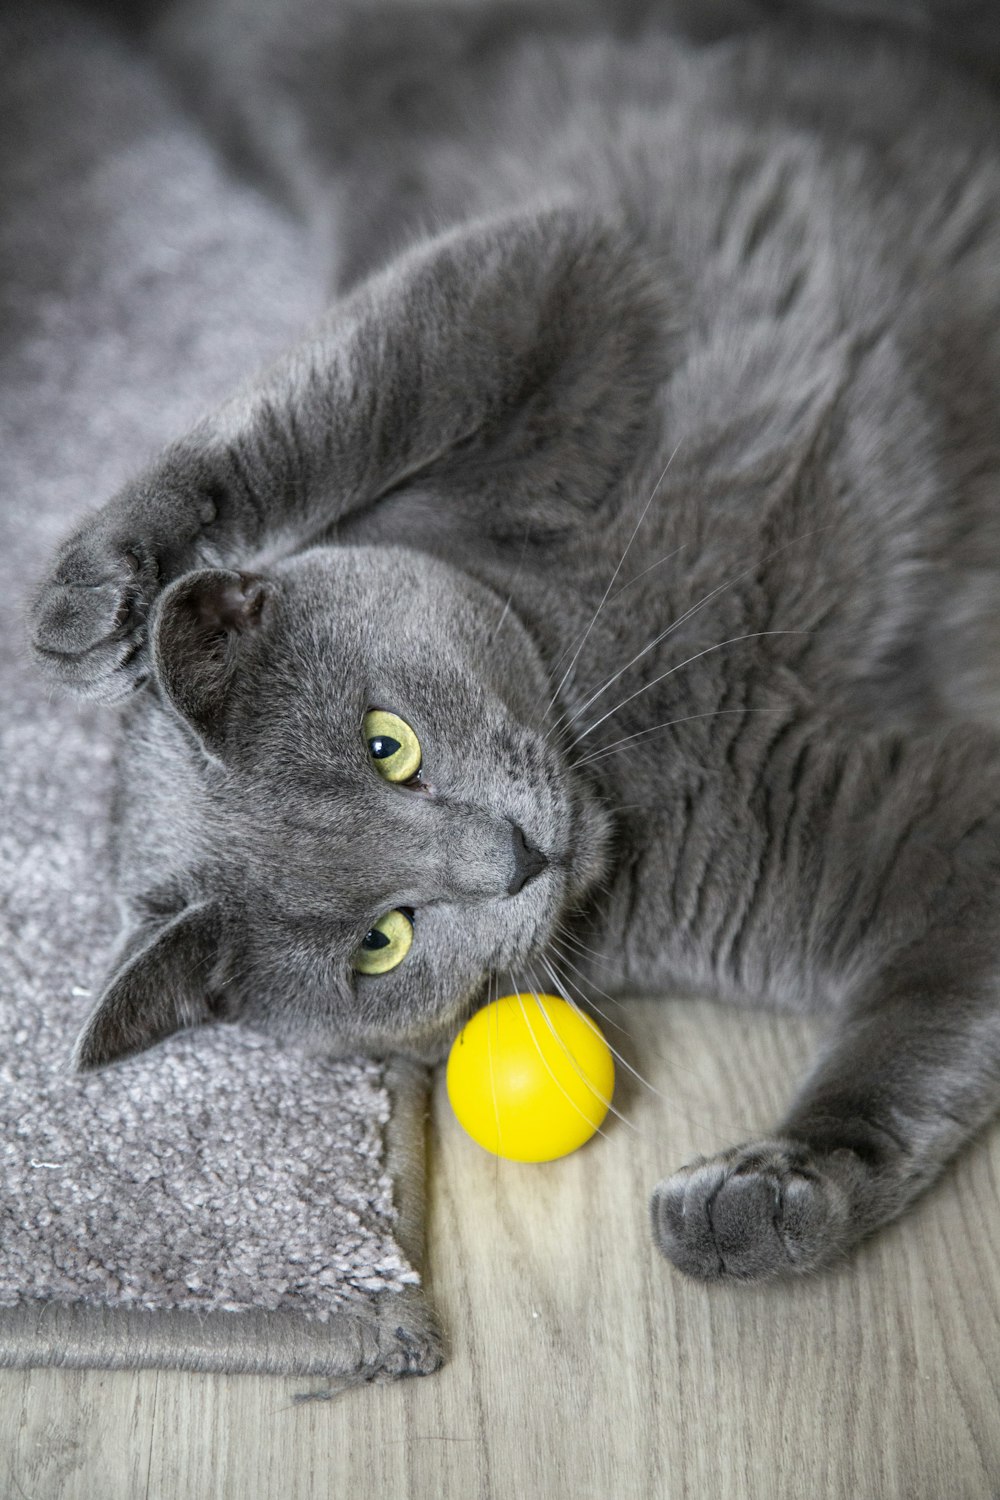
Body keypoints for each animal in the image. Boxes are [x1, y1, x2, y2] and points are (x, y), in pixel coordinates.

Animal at [27, 2, 1000, 1290]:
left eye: (387, 743)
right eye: (382, 943)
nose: (513, 859)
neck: (619, 717)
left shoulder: (558, 272)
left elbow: (340, 397)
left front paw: (108, 585)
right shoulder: (914, 836)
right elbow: (919, 1041)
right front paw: (772, 1195)